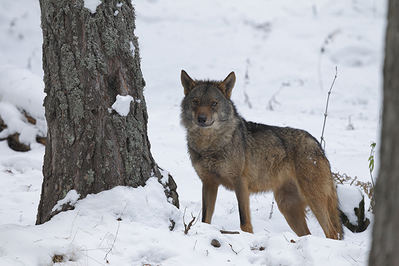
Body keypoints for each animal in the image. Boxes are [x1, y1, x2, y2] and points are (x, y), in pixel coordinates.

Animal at [181, 69, 344, 240]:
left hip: (313, 202)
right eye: (196, 101)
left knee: (332, 232)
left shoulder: (241, 183)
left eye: (214, 103)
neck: (209, 146)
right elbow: (205, 218)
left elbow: (244, 221)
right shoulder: (208, 183)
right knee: (309, 234)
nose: (202, 119)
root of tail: (318, 145)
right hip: (287, 207)